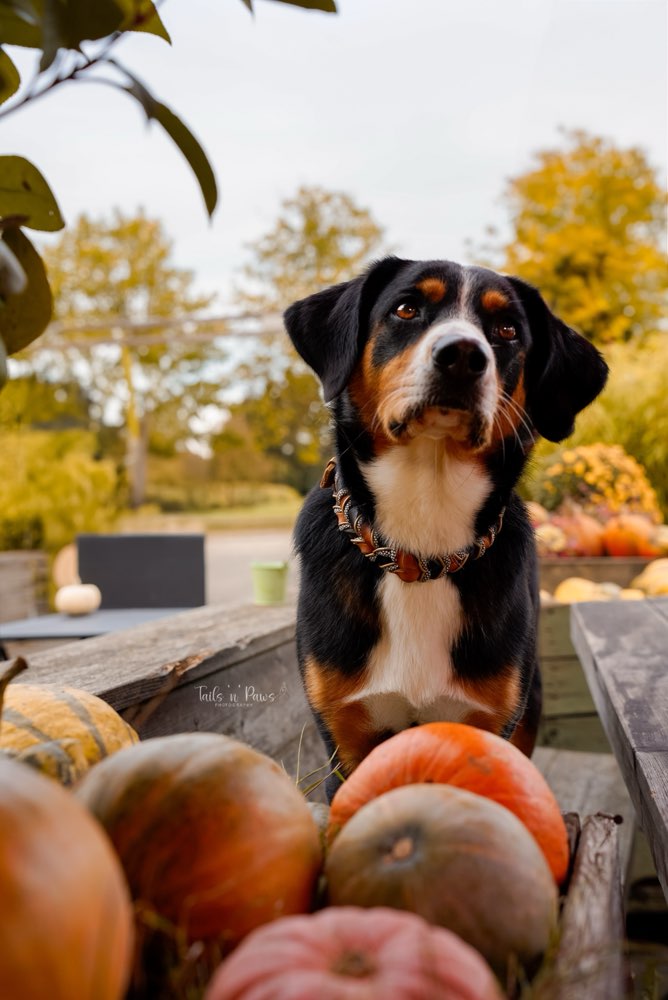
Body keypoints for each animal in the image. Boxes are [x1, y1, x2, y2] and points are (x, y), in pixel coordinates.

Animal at [284, 256, 608, 796]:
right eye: (406, 308)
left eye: (507, 329)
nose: (461, 356)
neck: (421, 551)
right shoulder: (346, 744)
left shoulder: (487, 729)